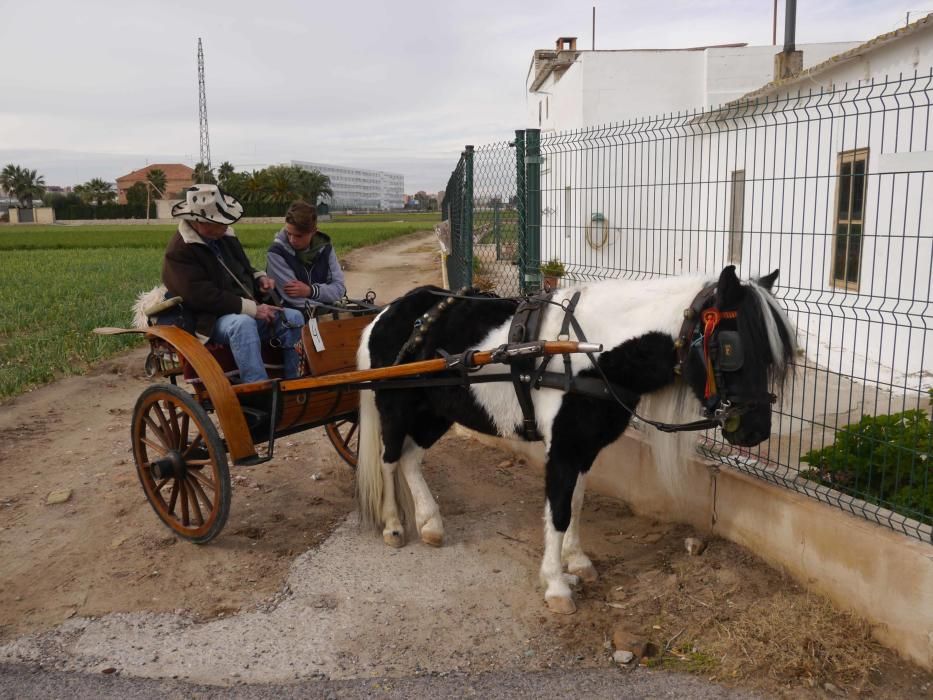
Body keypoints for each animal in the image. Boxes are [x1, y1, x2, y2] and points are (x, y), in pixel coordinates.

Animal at [354, 264, 792, 612]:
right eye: (731, 348)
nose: (755, 431)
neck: (588, 351)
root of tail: (388, 313)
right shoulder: (563, 448)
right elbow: (559, 510)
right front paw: (556, 585)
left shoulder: (585, 447)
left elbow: (577, 502)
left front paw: (576, 560)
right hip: (395, 407)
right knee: (390, 459)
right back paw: (394, 526)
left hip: (437, 412)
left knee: (411, 459)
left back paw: (430, 524)